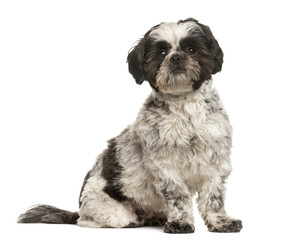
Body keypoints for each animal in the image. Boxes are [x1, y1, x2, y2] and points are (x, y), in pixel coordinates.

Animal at [18, 17, 242, 233]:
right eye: (161, 53)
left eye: (192, 50)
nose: (176, 57)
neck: (185, 110)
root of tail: (79, 209)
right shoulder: (165, 167)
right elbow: (178, 197)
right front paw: (180, 222)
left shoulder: (216, 162)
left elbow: (213, 198)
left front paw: (221, 222)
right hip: (108, 210)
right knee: (89, 221)